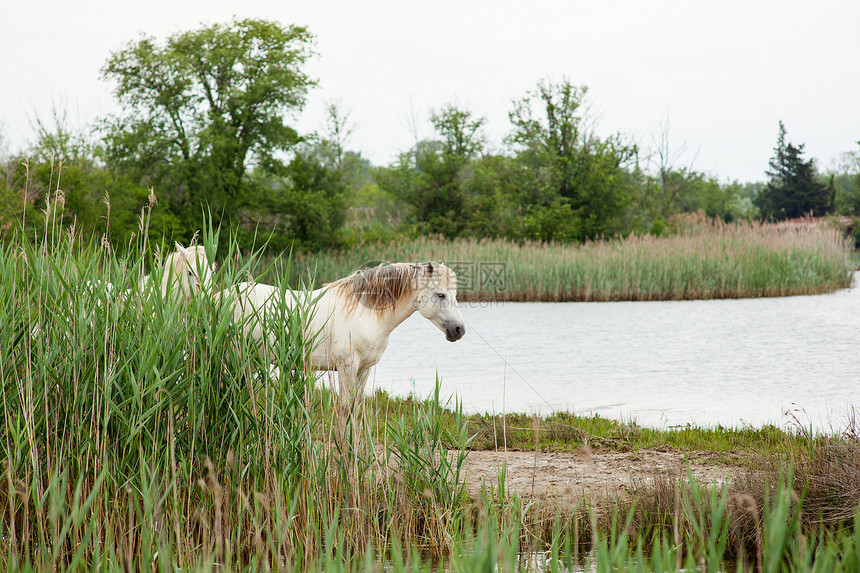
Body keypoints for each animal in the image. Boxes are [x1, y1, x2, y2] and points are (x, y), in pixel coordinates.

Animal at [228, 262, 466, 408]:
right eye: (440, 295)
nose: (459, 330)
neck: (365, 311)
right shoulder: (346, 367)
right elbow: (344, 409)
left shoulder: (364, 369)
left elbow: (355, 408)